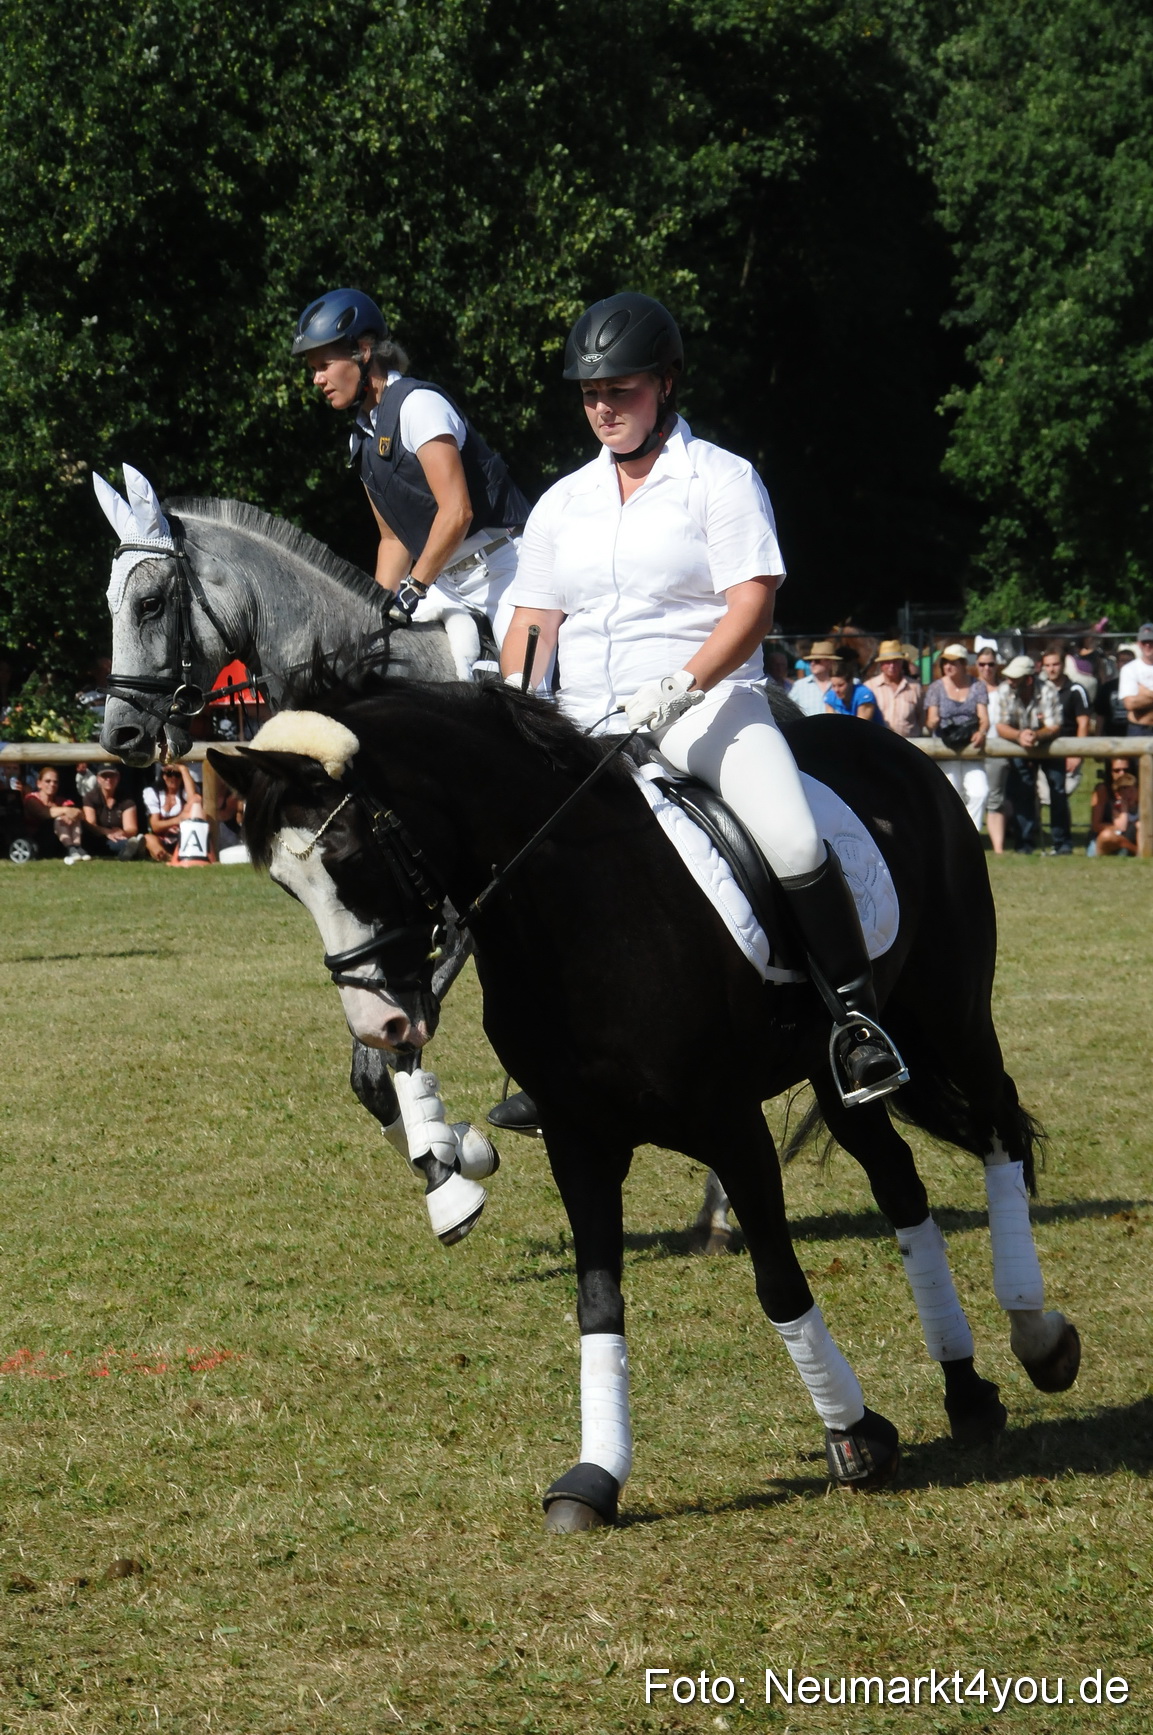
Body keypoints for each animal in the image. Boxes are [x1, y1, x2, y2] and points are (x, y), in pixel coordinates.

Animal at [208, 676, 1081, 1532]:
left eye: (349, 857)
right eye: (287, 884)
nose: (380, 1027)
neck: (575, 911)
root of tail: (896, 750)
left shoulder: (731, 1126)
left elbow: (776, 1279)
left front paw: (853, 1434)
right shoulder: (578, 1139)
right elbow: (597, 1299)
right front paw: (593, 1476)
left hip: (950, 1014)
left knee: (998, 1128)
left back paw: (1036, 1336)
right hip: (841, 1075)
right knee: (900, 1184)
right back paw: (965, 1389)